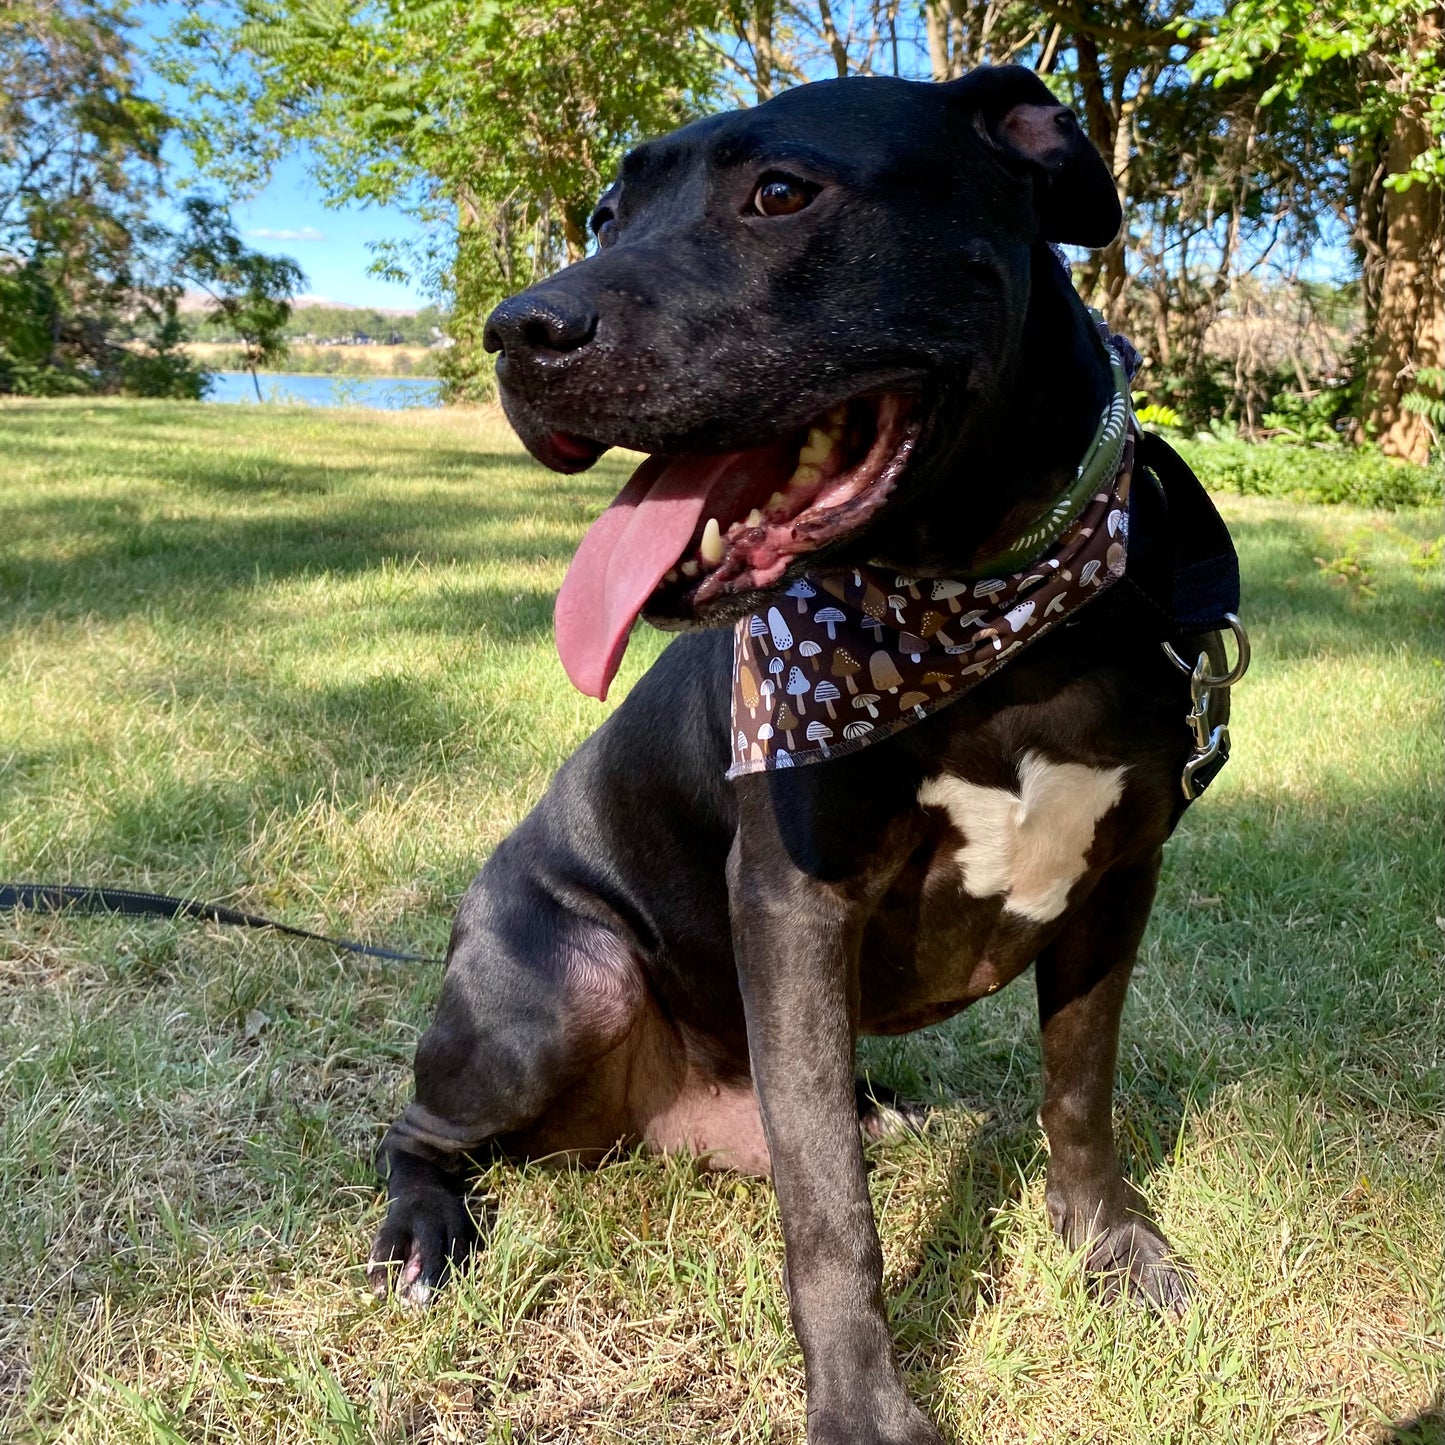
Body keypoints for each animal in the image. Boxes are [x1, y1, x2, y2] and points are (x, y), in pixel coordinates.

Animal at [367, 62, 1236, 1439]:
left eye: (778, 194)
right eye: (607, 212)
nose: (519, 330)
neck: (981, 609)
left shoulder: (1115, 881)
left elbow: (1079, 1088)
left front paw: (1111, 1251)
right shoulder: (792, 904)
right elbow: (831, 1212)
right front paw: (863, 1408)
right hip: (558, 988)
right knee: (413, 1126)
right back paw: (419, 1229)